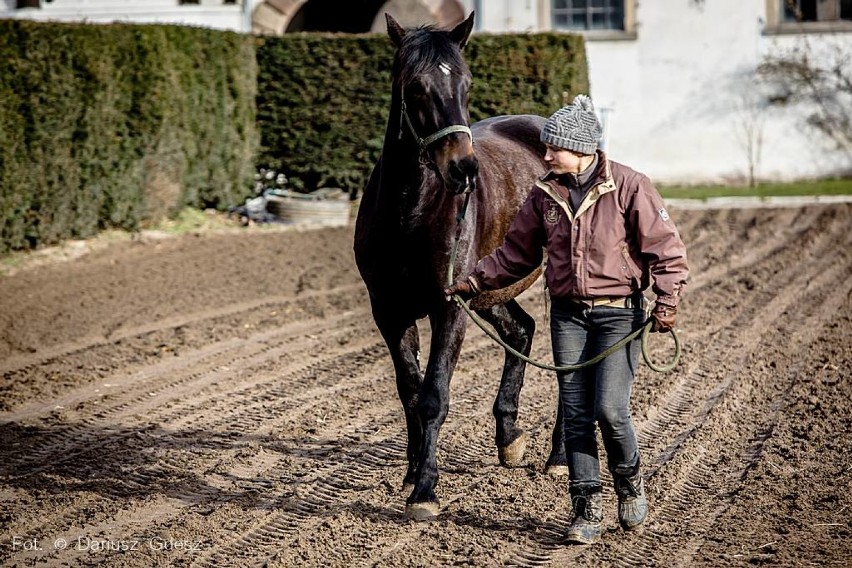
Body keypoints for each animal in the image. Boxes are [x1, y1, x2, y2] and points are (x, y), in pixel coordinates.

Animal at [352, 11, 564, 520]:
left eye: (466, 84)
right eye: (415, 86)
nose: (464, 169)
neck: (410, 213)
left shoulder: (449, 308)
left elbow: (433, 397)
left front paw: (426, 490)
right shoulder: (390, 311)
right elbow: (410, 391)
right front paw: (412, 473)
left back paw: (558, 457)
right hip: (489, 289)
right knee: (521, 330)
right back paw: (509, 438)